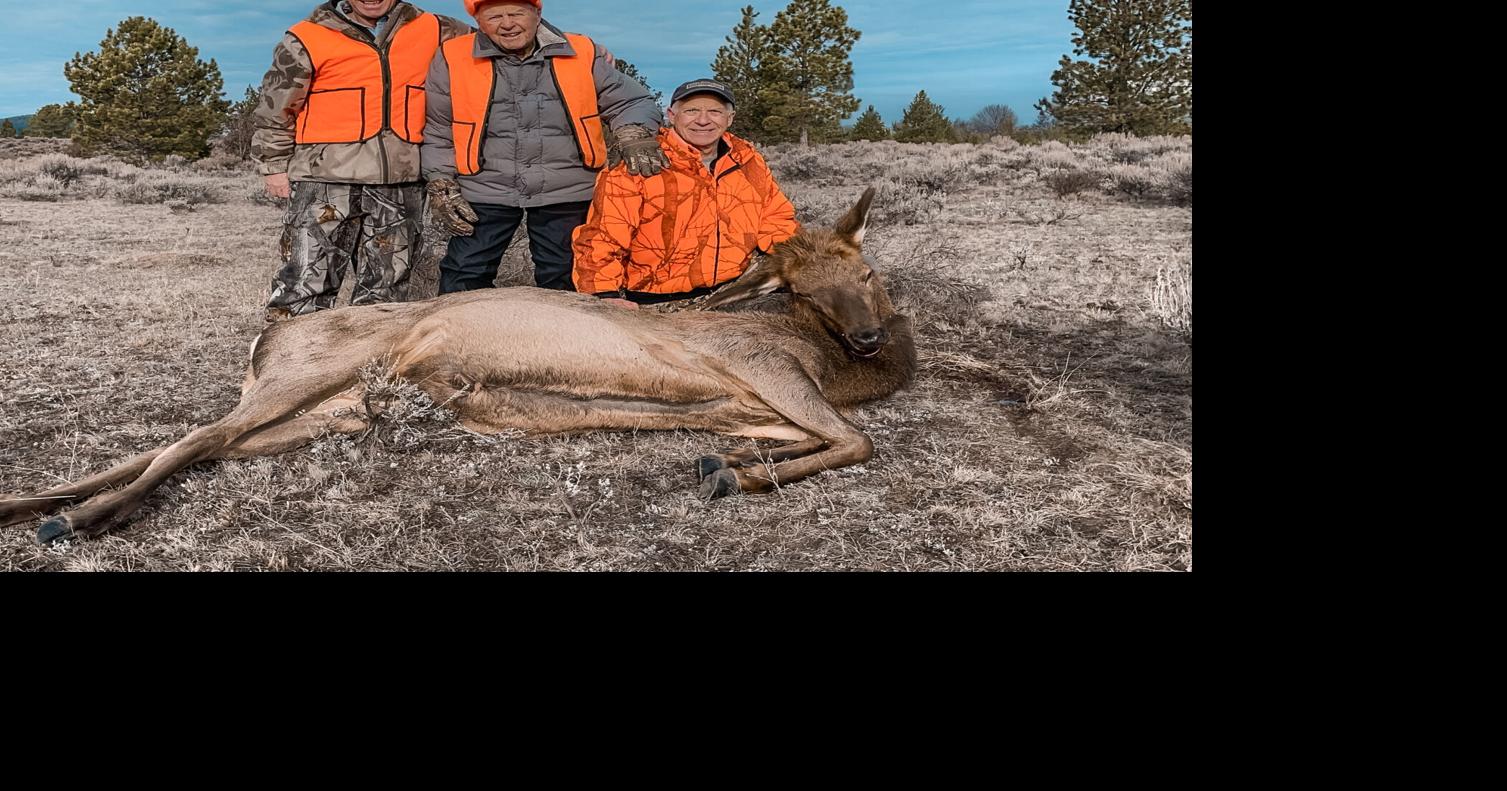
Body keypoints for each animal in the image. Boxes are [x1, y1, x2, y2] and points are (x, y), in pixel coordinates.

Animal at [1, 187, 915, 545]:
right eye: (801, 287)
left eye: (868, 270)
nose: (872, 339)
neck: (830, 364)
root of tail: (262, 345)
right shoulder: (767, 370)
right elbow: (857, 441)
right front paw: (737, 472)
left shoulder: (755, 400)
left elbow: (793, 440)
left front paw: (726, 465)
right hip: (313, 374)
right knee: (188, 441)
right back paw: (74, 520)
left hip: (322, 411)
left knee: (186, 442)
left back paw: (32, 504)